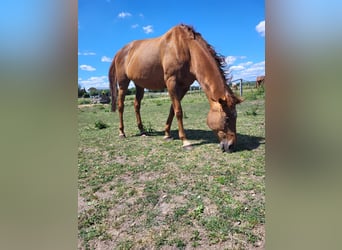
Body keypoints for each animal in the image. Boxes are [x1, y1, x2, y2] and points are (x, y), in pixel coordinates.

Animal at [109, 23, 243, 152]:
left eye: (236, 117)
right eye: (227, 119)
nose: (231, 146)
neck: (186, 48)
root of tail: (120, 52)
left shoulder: (184, 86)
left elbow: (172, 110)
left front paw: (167, 134)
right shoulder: (171, 82)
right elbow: (178, 111)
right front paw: (185, 142)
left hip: (139, 85)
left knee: (136, 105)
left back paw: (142, 131)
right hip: (123, 83)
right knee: (121, 106)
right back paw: (122, 132)